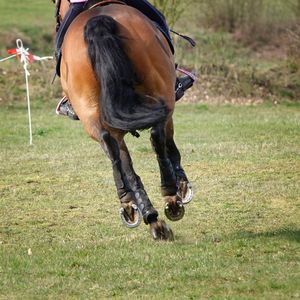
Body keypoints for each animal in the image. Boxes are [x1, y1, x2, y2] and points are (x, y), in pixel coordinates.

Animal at [53, 0, 193, 239]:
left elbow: (126, 164)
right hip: (163, 93)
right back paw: (171, 198)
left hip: (90, 112)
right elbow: (170, 146)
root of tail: (97, 20)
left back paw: (134, 207)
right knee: (157, 136)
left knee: (111, 147)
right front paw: (181, 185)